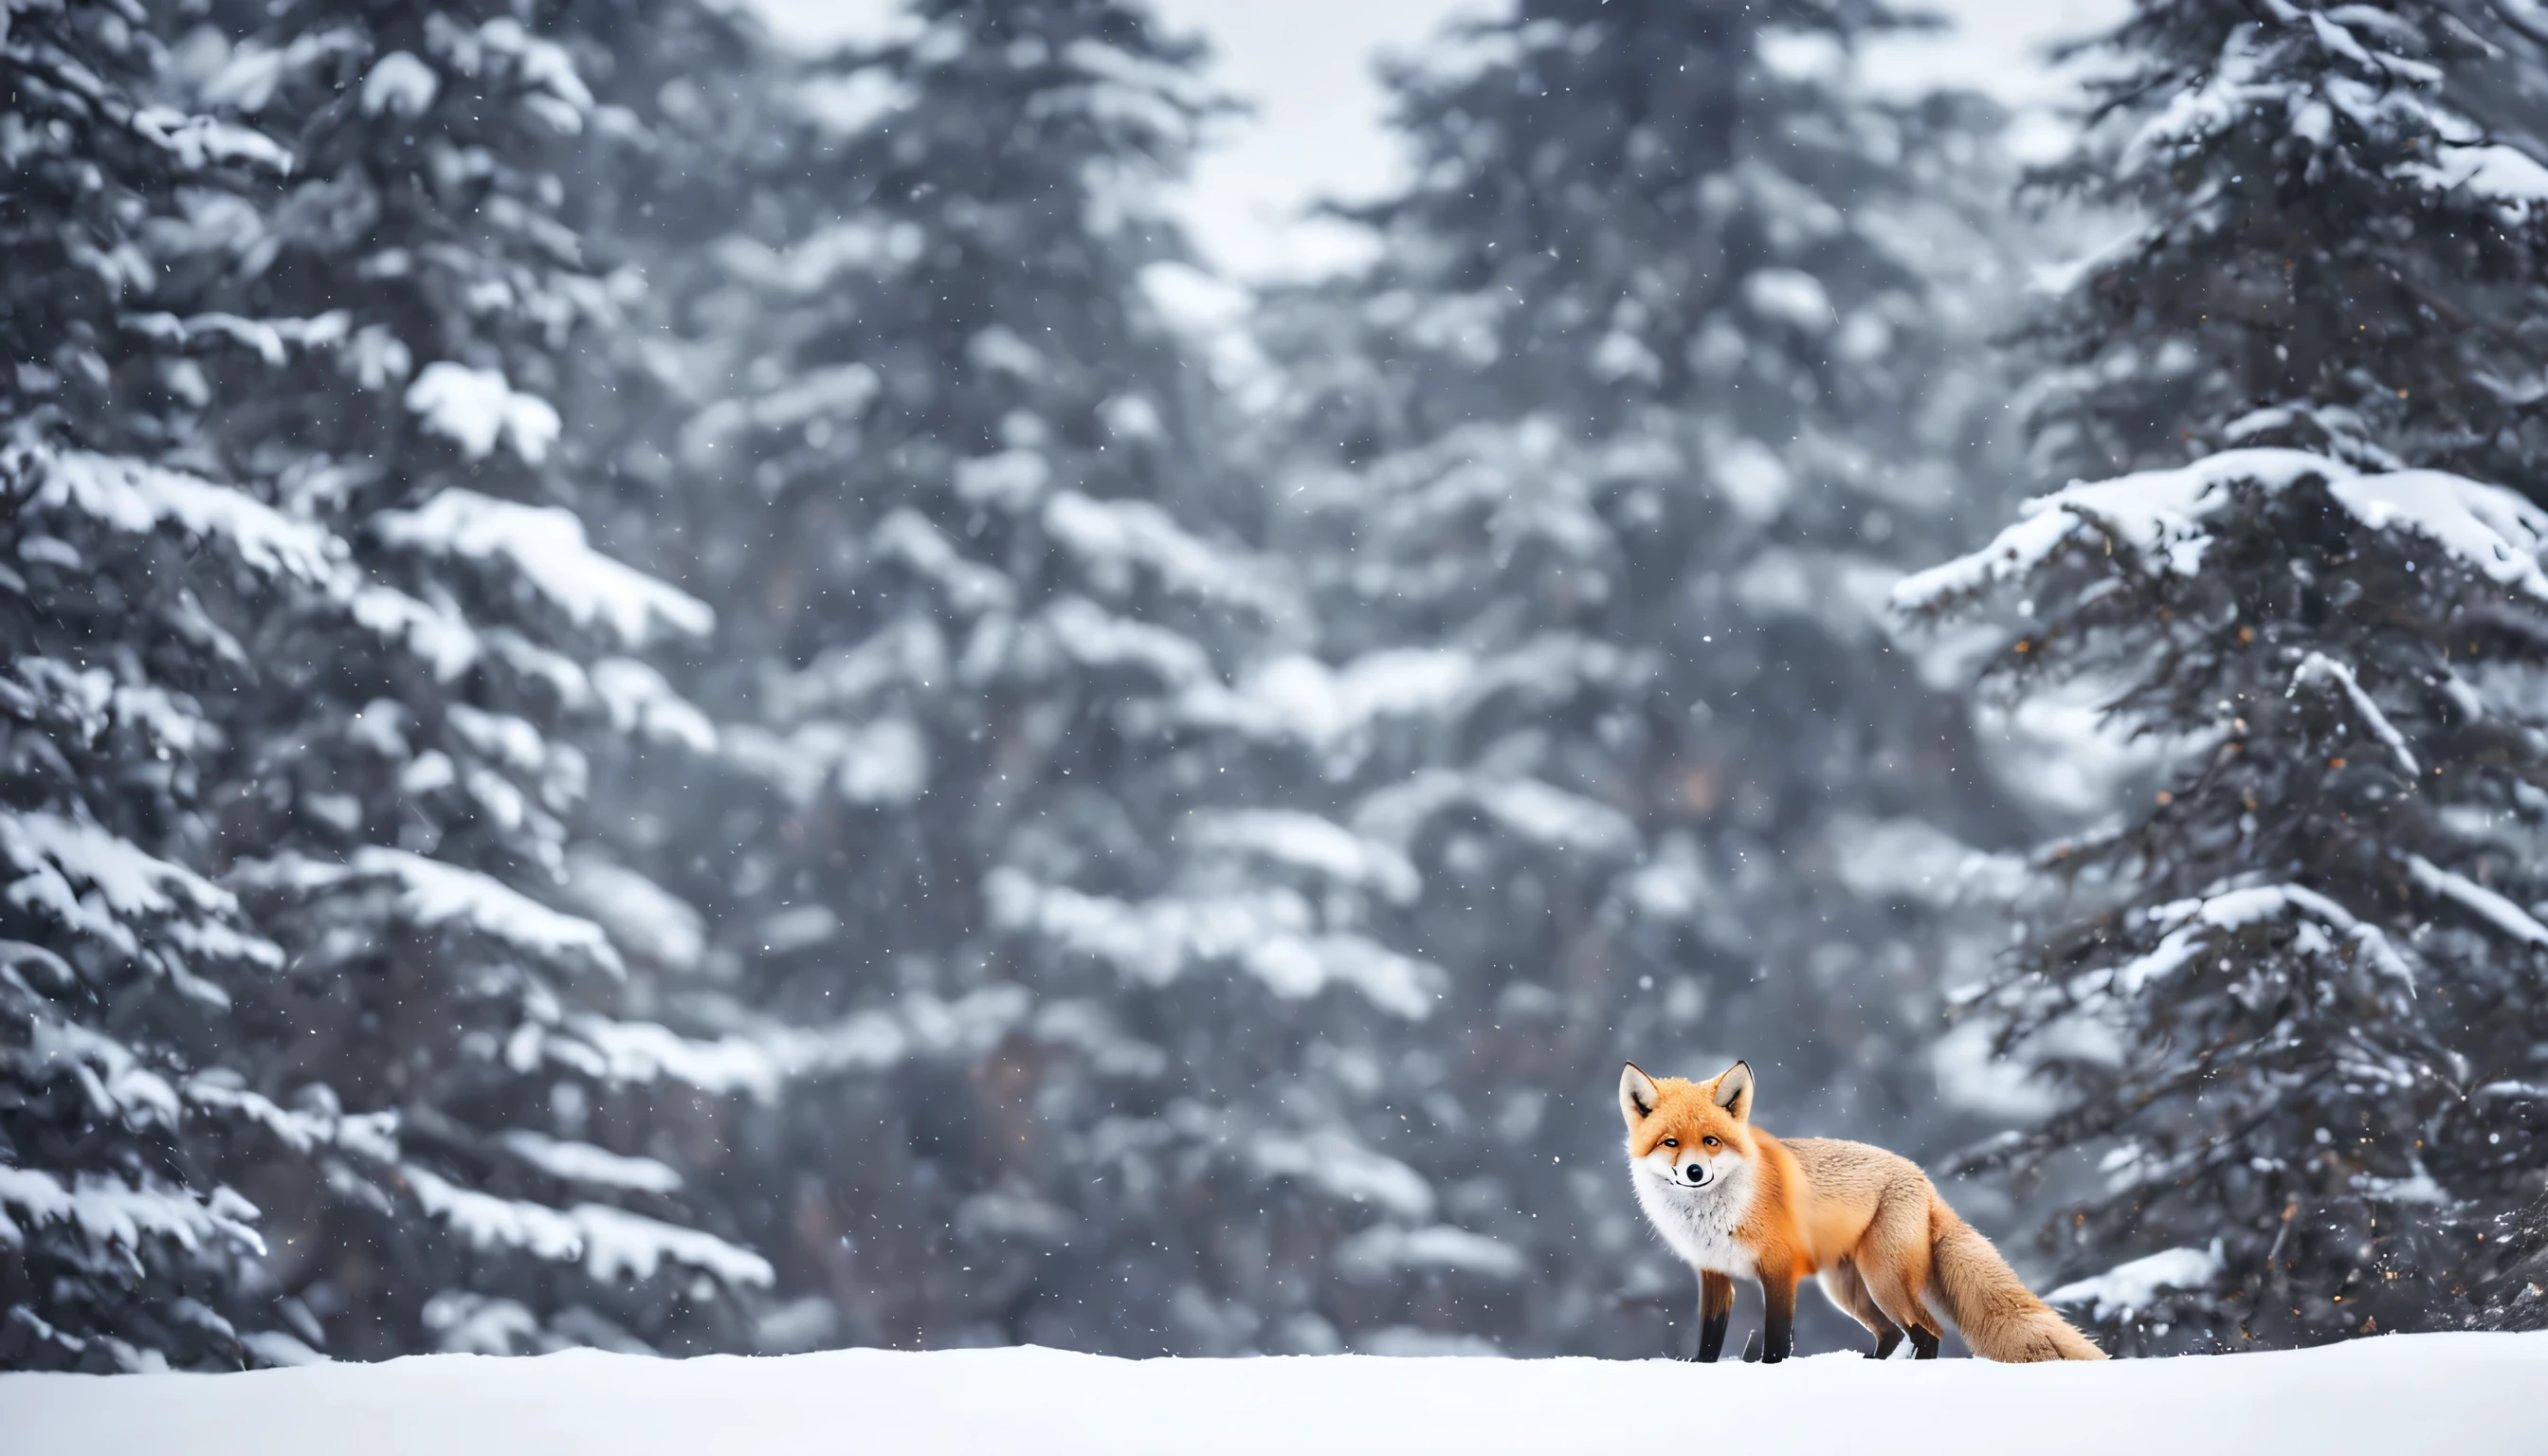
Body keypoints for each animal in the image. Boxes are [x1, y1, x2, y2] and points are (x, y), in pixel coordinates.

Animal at [1620, 1061, 2099, 1366]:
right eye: (1670, 1143)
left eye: (1712, 1141)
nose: (1695, 1172)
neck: (1717, 1215)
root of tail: (1924, 1179)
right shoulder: (1714, 1272)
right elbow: (1710, 1338)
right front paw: (1701, 1368)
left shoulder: (1779, 1269)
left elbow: (1777, 1339)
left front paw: (1771, 1372)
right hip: (1849, 1291)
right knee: (1891, 1334)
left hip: (1882, 1280)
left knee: (1928, 1333)